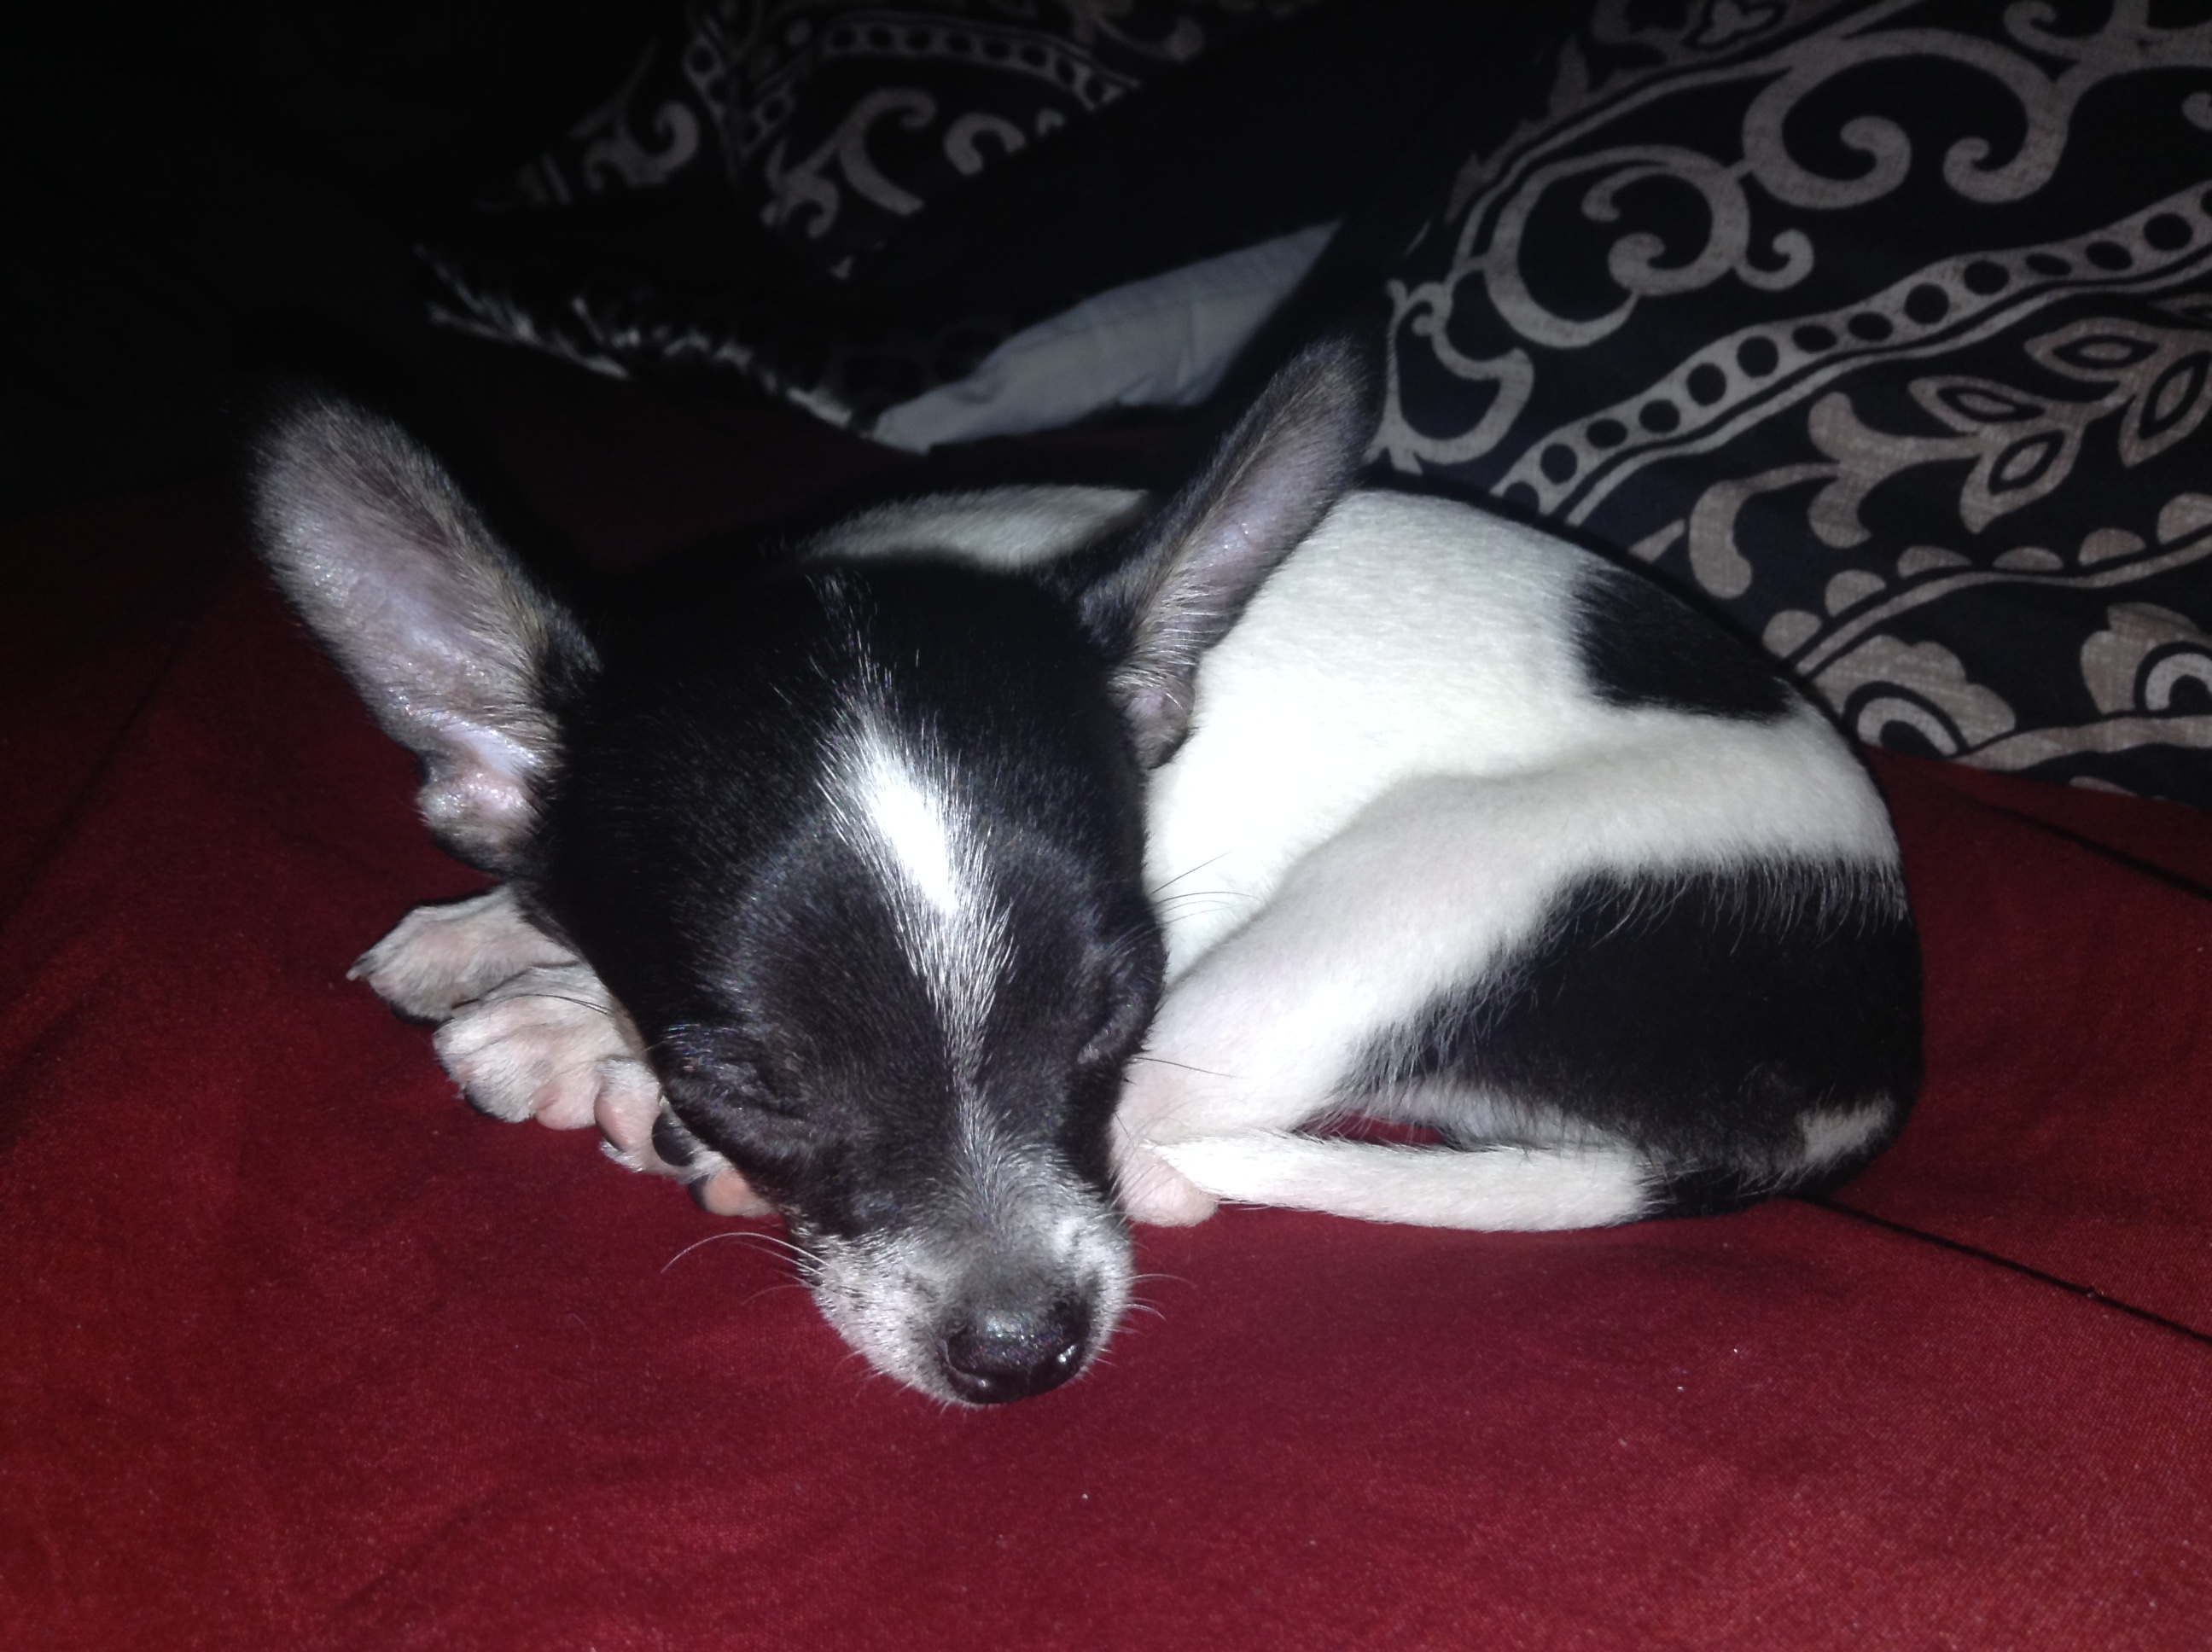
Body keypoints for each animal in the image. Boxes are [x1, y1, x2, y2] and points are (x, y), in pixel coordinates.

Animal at [250, 336, 1920, 1405]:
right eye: (764, 1077)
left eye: (1109, 1016)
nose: (1024, 1352)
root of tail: (1866, 1062)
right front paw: (491, 929)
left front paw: (573, 1032)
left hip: (1408, 907)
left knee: (1180, 1149)